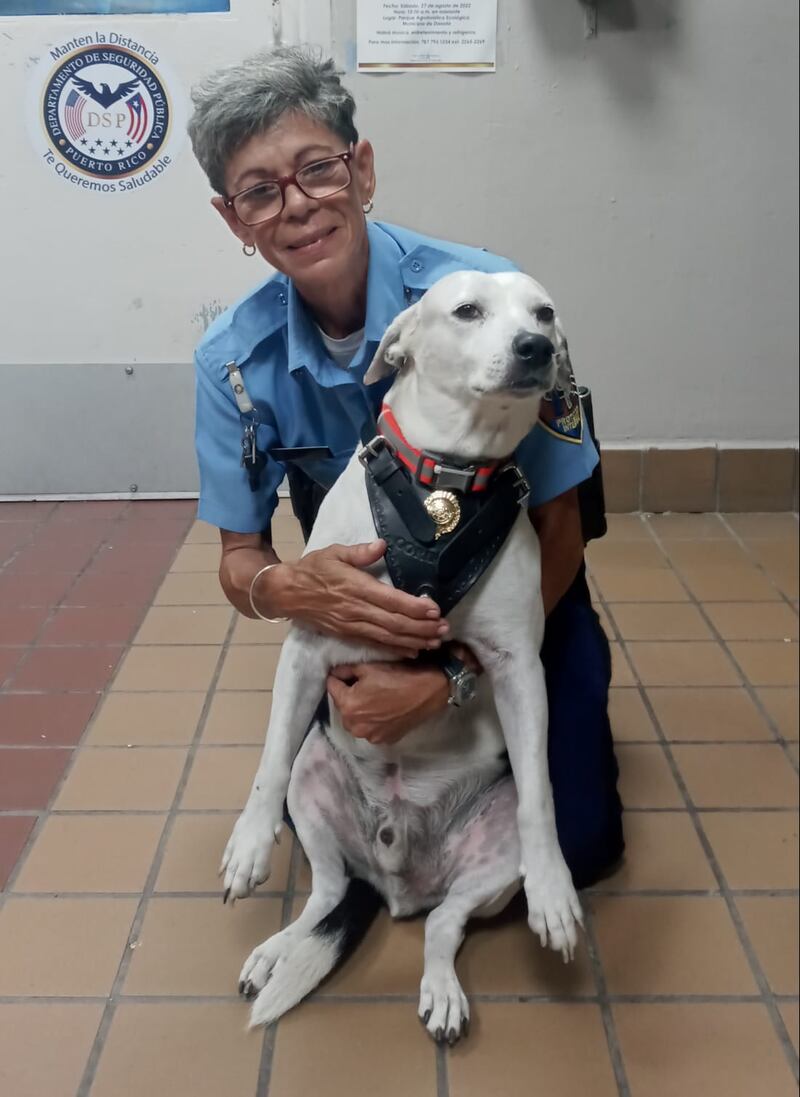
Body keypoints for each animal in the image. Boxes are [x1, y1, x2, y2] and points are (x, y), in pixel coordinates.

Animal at [221, 269, 583, 1039]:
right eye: (467, 310)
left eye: (543, 312)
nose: (535, 348)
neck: (446, 480)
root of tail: (394, 874)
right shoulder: (305, 649)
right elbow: (266, 766)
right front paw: (249, 844)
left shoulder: (519, 670)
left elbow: (542, 794)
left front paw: (554, 891)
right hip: (313, 780)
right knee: (325, 894)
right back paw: (277, 950)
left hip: (488, 857)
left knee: (443, 924)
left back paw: (441, 987)